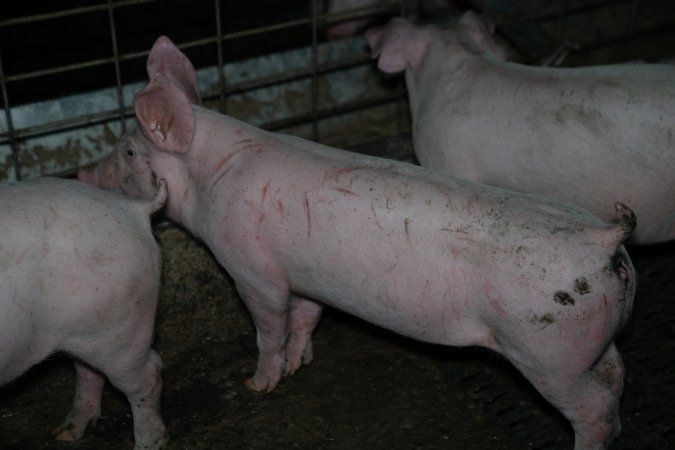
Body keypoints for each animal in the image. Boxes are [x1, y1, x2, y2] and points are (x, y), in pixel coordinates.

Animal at [0, 177, 169, 450]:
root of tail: (134, 208)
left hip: (120, 323)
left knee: (147, 375)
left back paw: (145, 445)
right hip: (84, 329)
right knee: (87, 370)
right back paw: (64, 434)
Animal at [79, 36, 637, 450]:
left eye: (128, 151)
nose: (82, 174)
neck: (211, 179)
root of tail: (605, 237)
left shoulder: (253, 268)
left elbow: (269, 326)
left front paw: (259, 383)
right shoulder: (305, 276)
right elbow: (306, 317)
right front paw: (301, 363)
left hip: (547, 350)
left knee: (591, 407)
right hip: (590, 341)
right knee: (614, 379)